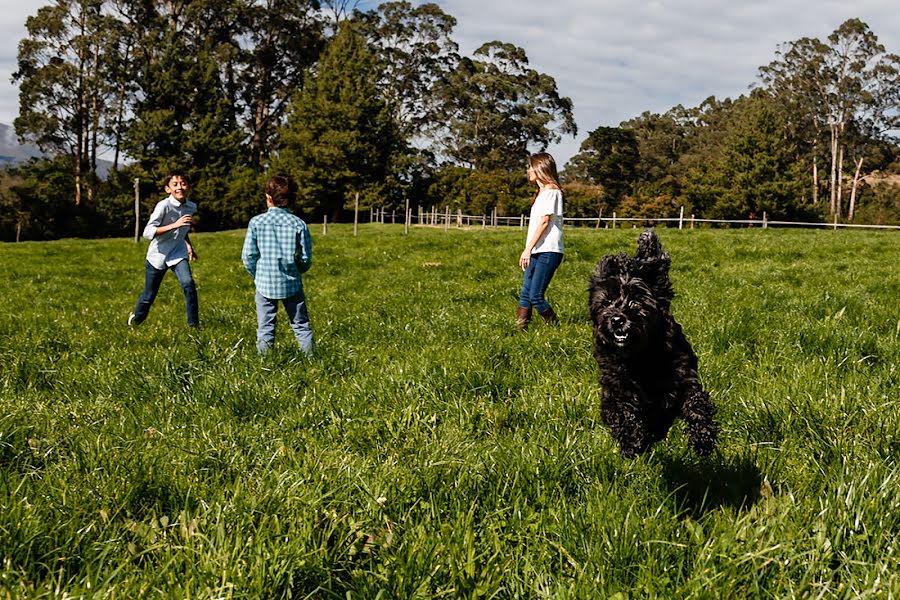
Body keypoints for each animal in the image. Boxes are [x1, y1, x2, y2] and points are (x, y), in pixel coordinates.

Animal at [592, 232, 716, 458]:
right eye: (607, 302)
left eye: (636, 301)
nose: (617, 320)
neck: (641, 358)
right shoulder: (614, 388)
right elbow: (621, 413)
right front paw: (632, 442)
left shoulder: (683, 379)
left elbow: (697, 404)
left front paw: (702, 438)